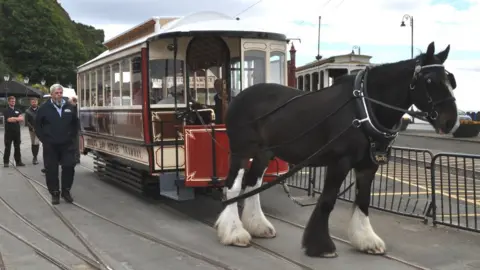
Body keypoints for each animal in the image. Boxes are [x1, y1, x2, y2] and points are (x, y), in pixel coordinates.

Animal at [214, 41, 458, 258]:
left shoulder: (368, 166)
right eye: (429, 80)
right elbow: (327, 201)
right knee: (233, 187)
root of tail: (240, 96)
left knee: (252, 183)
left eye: (450, 80)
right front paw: (320, 246)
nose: (451, 122)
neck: (363, 108)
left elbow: (363, 201)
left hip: (264, 153)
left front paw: (366, 240)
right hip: (242, 151)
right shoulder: (340, 162)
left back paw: (258, 226)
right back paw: (234, 233)